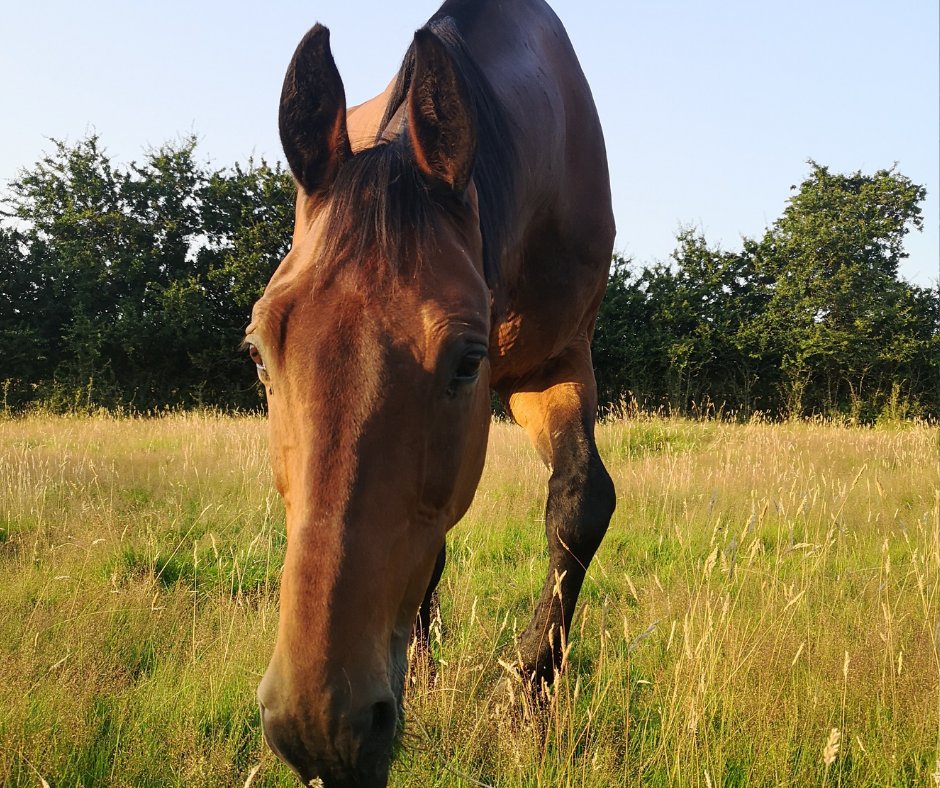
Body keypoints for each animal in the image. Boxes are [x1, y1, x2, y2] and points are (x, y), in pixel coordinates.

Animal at [247, 0, 616, 783]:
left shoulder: (557, 361)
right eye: (260, 353)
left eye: (467, 361)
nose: (321, 729)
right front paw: (426, 675)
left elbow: (580, 502)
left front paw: (526, 701)